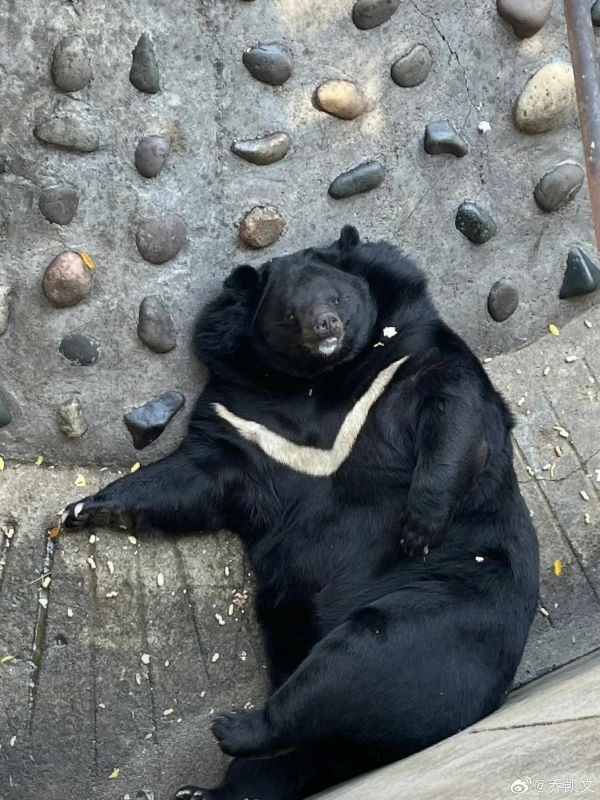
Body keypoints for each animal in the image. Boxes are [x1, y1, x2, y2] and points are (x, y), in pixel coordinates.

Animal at [62, 226, 540, 800]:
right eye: (290, 313)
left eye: (335, 298)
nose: (326, 326)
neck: (320, 380)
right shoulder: (243, 422)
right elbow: (192, 478)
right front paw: (83, 509)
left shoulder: (408, 360)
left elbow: (455, 412)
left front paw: (419, 530)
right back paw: (204, 787)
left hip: (449, 605)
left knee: (358, 663)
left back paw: (233, 727)